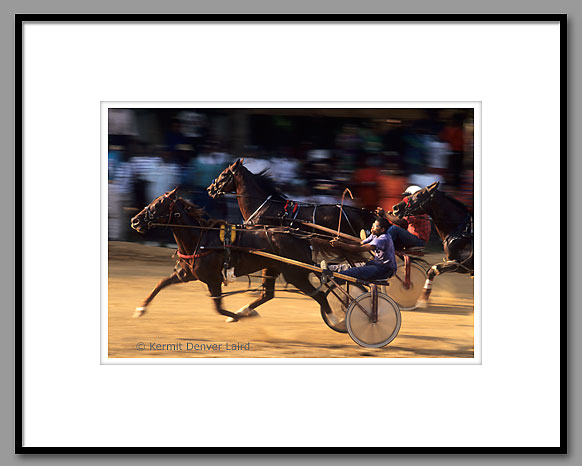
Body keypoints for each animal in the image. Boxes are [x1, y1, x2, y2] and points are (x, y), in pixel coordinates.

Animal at [130, 187, 336, 322]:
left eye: (158, 204)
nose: (135, 221)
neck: (200, 238)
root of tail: (300, 236)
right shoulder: (187, 273)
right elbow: (161, 283)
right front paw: (140, 309)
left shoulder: (213, 279)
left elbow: (218, 308)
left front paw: (234, 317)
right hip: (272, 269)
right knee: (267, 295)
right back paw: (245, 310)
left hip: (295, 273)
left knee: (320, 295)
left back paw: (336, 320)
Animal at [392, 182, 474, 310]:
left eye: (418, 195)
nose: (395, 208)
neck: (463, 232)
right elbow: (432, 270)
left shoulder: (460, 264)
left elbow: (432, 270)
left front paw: (422, 299)